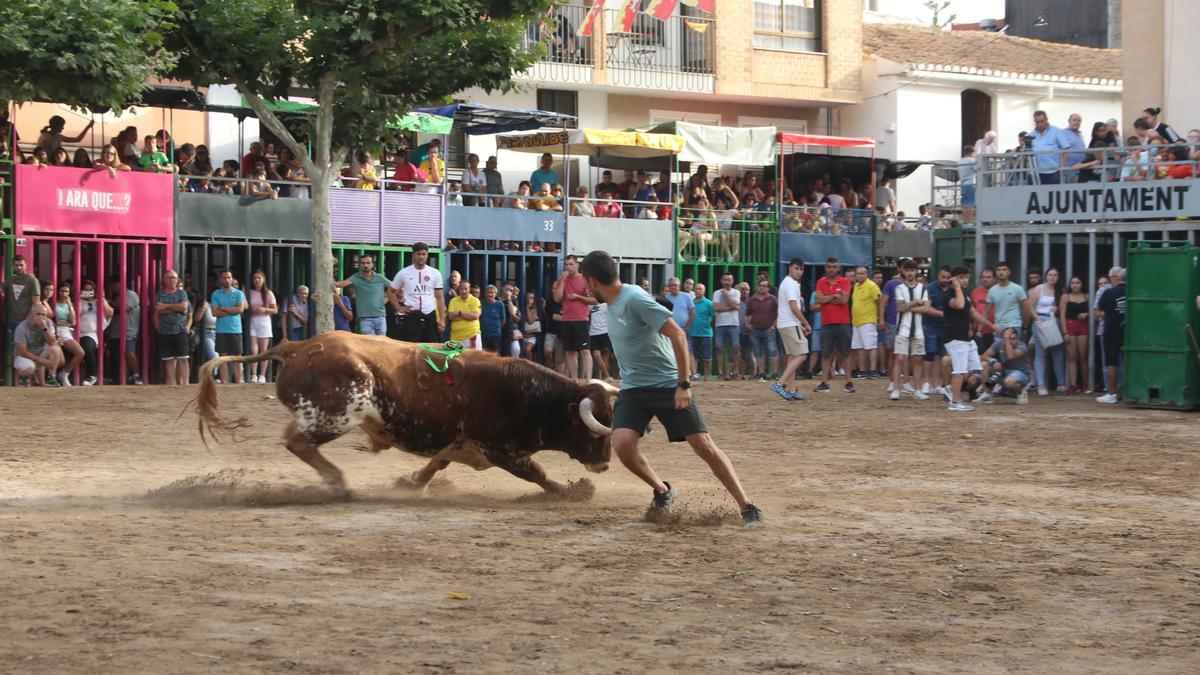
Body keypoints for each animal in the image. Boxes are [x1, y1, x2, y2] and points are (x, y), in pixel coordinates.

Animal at [194, 331, 619, 494]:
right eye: (593, 429)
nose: (605, 464)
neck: (527, 394)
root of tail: (297, 347)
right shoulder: (502, 450)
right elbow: (537, 473)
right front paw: (571, 492)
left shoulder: (457, 443)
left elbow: (436, 464)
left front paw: (412, 481)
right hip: (339, 412)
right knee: (296, 441)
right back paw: (338, 482)